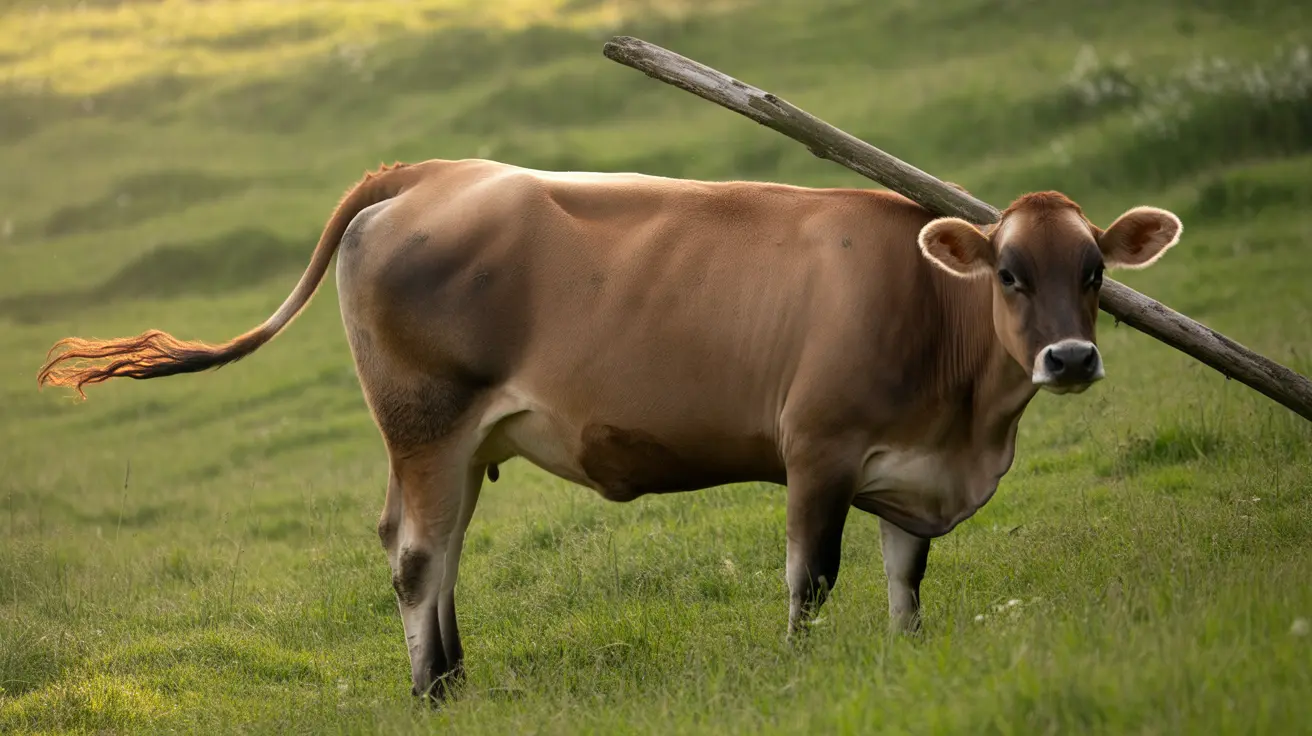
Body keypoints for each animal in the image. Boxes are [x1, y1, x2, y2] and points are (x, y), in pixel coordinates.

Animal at [37, 158, 1182, 700]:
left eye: (1095, 271)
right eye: (1007, 272)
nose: (1068, 360)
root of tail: (434, 172)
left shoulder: (910, 470)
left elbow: (905, 580)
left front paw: (906, 657)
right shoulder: (815, 449)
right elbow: (810, 578)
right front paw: (801, 669)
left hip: (457, 442)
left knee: (433, 548)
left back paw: (456, 675)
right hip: (427, 421)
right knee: (417, 557)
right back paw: (429, 692)